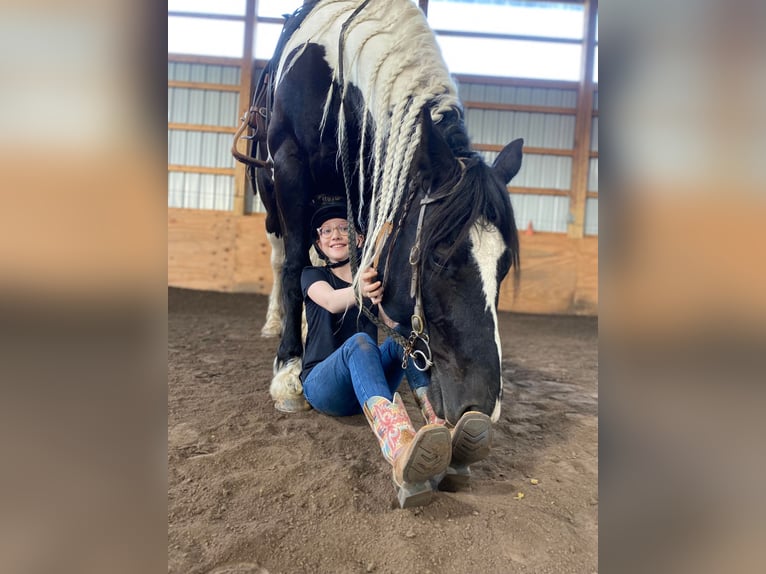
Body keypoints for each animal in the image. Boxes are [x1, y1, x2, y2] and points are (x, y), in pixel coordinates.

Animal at [236, 0, 520, 426]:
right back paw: (277, 324)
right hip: (273, 202)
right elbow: (293, 268)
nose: (483, 408)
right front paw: (288, 371)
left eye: (502, 267)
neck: (338, 78)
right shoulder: (289, 168)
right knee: (282, 258)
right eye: (439, 258)